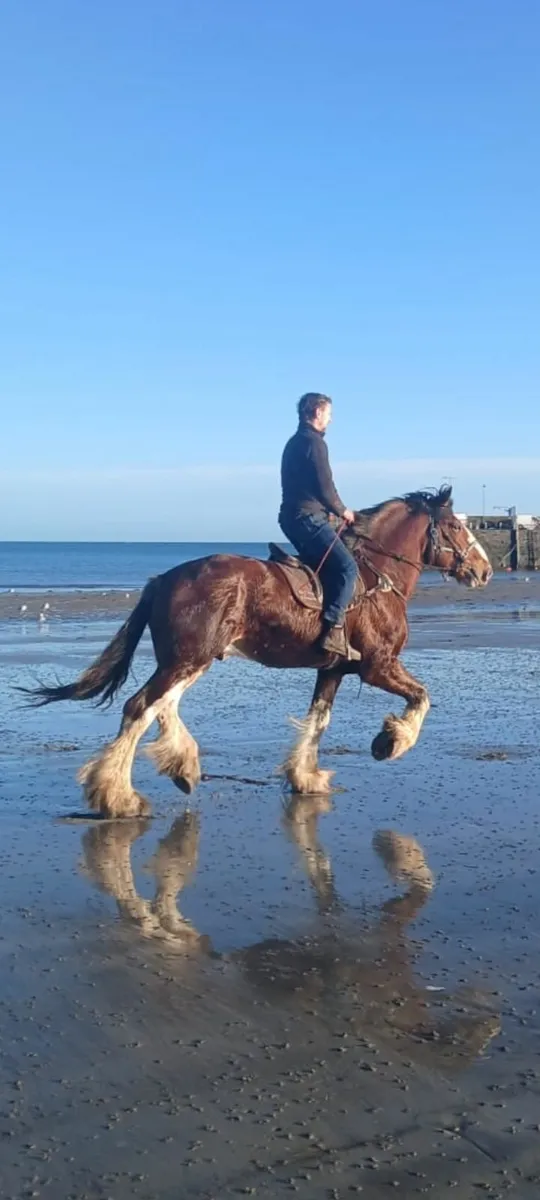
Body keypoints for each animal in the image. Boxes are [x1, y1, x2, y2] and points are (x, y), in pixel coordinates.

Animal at [23, 485, 492, 817]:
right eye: (456, 527)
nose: (485, 570)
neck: (377, 579)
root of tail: (163, 580)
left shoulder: (333, 670)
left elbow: (318, 720)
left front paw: (306, 776)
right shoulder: (378, 666)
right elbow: (422, 697)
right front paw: (390, 742)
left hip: (193, 659)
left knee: (162, 706)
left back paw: (182, 766)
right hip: (187, 658)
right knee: (140, 707)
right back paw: (118, 797)